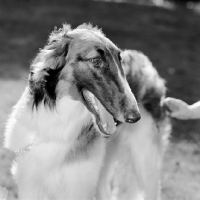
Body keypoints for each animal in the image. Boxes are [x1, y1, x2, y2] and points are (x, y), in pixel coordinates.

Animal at [3, 24, 141, 199]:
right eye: (95, 60)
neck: (61, 122)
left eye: (119, 59)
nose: (135, 116)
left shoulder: (79, 184)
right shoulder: (31, 184)